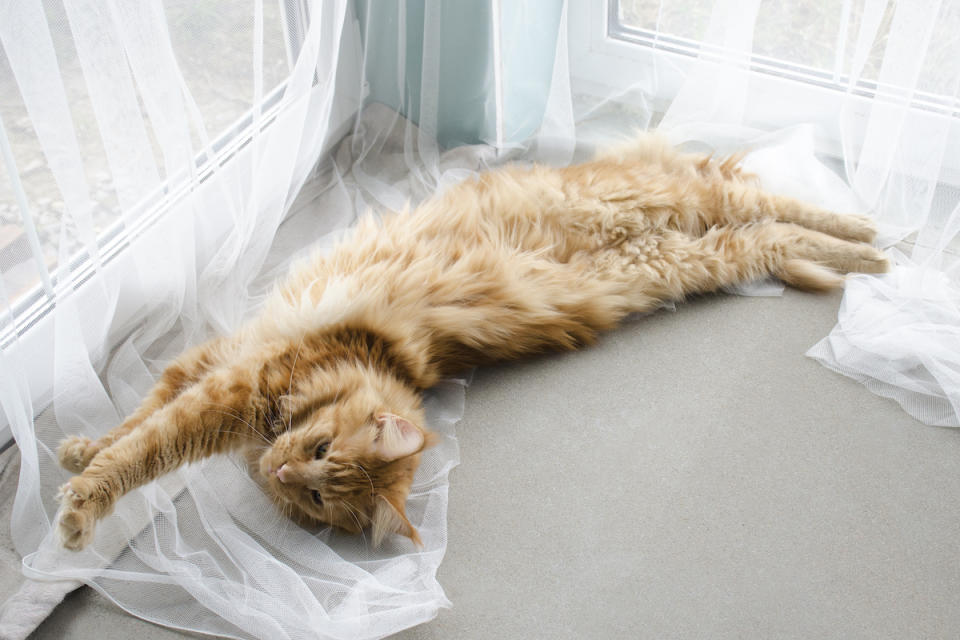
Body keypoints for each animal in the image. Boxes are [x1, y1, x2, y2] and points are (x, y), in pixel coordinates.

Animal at [56, 136, 888, 552]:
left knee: (780, 221)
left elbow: (149, 444)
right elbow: (140, 424)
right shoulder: (221, 366)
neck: (372, 361)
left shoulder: (230, 385)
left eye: (320, 493)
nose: (282, 471)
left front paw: (78, 506)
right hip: (691, 227)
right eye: (320, 458)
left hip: (698, 248)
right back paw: (875, 241)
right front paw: (79, 456)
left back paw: (874, 248)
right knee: (773, 212)